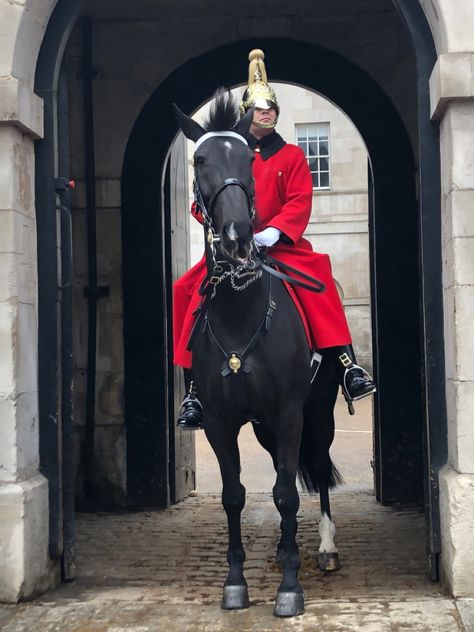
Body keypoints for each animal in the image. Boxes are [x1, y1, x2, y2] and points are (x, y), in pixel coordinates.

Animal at [174, 92, 340, 616]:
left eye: (247, 160)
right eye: (200, 160)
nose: (238, 237)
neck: (240, 310)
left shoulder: (289, 414)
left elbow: (287, 495)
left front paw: (289, 588)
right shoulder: (220, 421)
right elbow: (234, 495)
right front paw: (235, 583)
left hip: (317, 412)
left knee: (317, 471)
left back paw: (325, 547)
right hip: (264, 428)